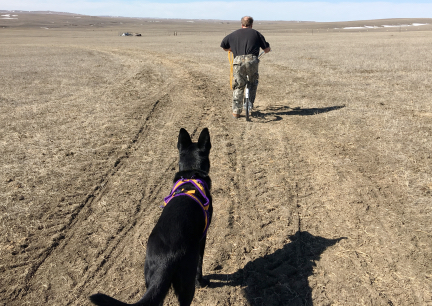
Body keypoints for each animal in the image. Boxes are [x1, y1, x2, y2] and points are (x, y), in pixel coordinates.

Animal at [90, 128, 213, 304]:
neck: (191, 176)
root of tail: (165, 260)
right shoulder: (202, 238)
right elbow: (200, 265)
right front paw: (202, 281)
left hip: (152, 282)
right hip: (185, 283)